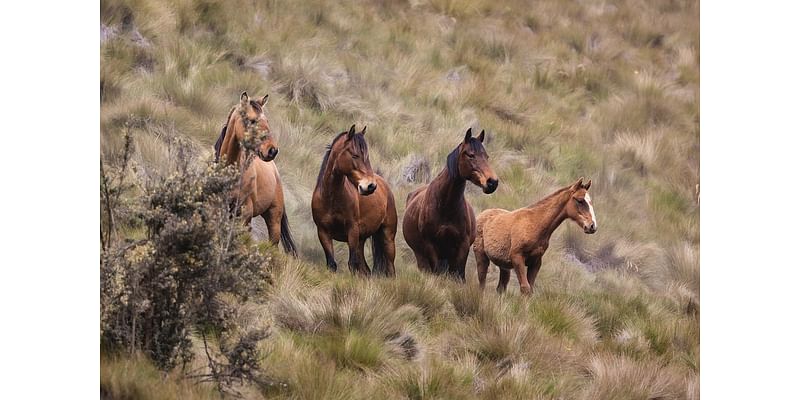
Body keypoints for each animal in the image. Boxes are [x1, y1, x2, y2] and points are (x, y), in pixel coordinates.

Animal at [312, 124, 400, 276]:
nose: (370, 186)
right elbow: (332, 264)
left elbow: (352, 264)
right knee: (366, 270)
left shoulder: (352, 231)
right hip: (361, 240)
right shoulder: (323, 232)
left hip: (387, 238)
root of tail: (384, 185)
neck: (330, 198)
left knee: (390, 269)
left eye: (367, 157)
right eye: (355, 155)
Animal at [404, 130, 496, 280]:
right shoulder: (430, 245)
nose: (492, 182)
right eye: (471, 155)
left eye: (486, 156)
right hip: (421, 256)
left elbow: (458, 275)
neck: (445, 206)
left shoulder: (462, 246)